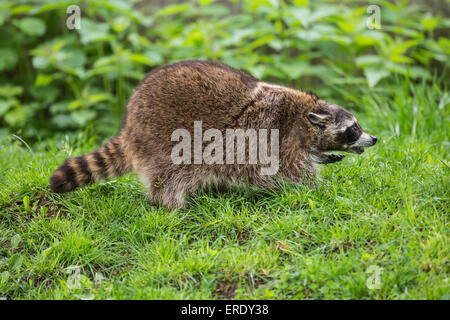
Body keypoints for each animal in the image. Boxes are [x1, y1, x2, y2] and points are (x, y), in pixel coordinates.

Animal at [51, 60, 378, 209]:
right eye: (354, 128)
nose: (374, 139)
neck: (302, 116)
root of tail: (130, 124)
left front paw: (322, 156)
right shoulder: (270, 135)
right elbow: (285, 171)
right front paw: (316, 189)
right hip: (163, 142)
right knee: (168, 178)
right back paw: (171, 205)